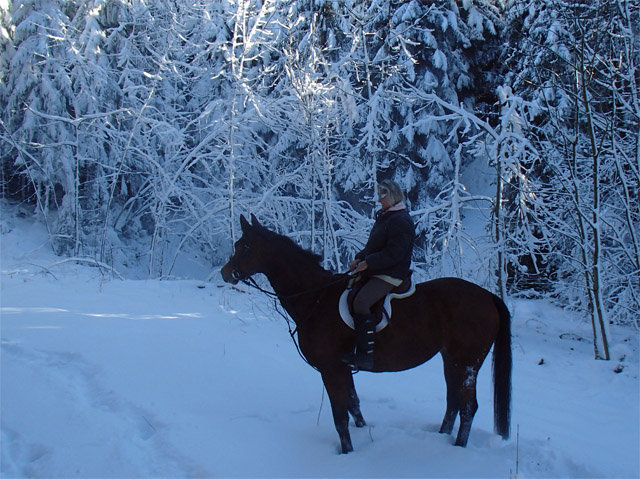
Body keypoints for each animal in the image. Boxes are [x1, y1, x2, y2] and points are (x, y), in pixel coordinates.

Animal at [222, 216, 512, 456]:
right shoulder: (343, 368)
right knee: (453, 403)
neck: (315, 297)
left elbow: (340, 416)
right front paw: (363, 438)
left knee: (468, 407)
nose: (226, 273)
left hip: (467, 363)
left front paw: (348, 453)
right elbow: (354, 404)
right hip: (450, 359)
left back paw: (457, 449)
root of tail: (488, 296)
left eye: (244, 246)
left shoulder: (330, 369)